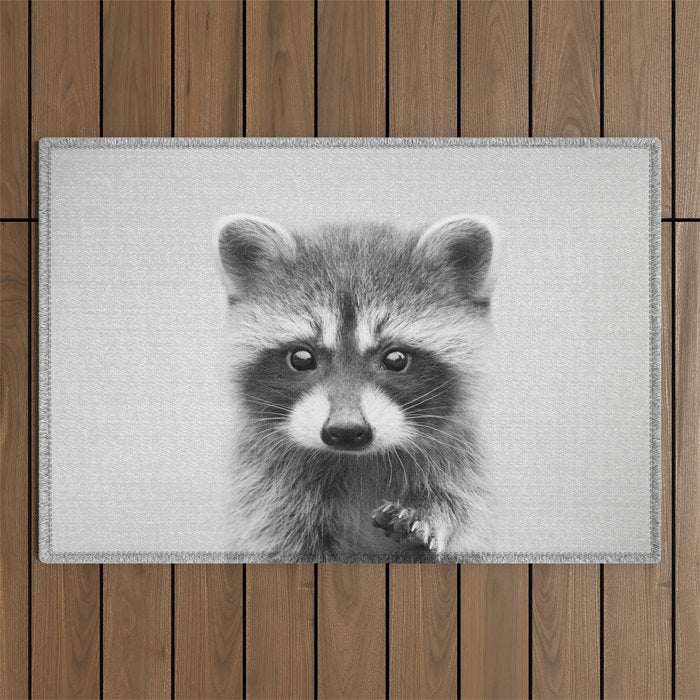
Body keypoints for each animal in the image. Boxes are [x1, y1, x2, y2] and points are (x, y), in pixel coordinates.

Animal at [214, 214, 499, 561]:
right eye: (301, 358)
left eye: (395, 359)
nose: (347, 430)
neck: (357, 459)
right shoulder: (267, 493)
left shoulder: (461, 468)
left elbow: (459, 509)